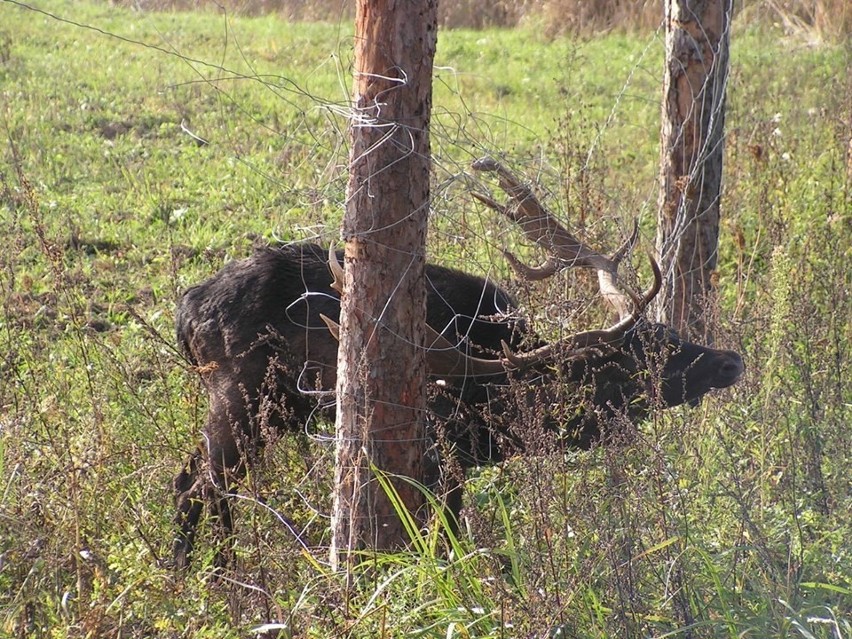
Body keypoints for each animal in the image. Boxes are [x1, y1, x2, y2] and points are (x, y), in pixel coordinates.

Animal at [170, 160, 744, 568]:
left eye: (670, 332)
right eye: (643, 358)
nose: (730, 361)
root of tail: (188, 308)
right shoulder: (441, 453)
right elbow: (445, 538)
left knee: (196, 479)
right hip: (241, 396)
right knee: (200, 484)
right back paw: (208, 576)